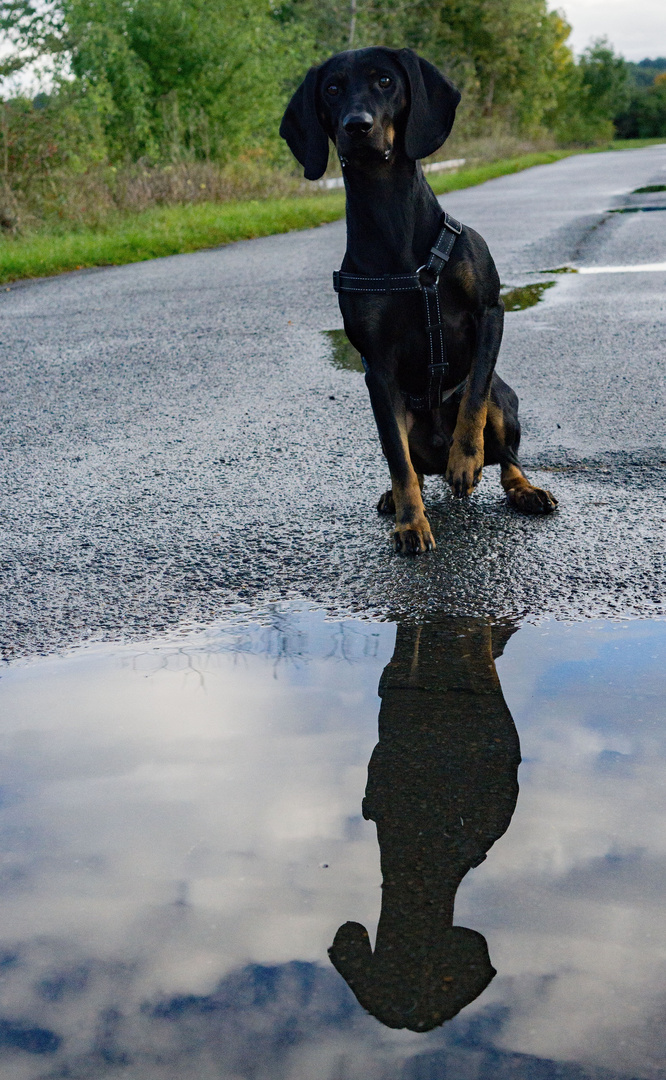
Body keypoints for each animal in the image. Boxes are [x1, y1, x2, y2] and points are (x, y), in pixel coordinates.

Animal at [280, 46, 556, 552]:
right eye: (332, 88)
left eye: (385, 81)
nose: (356, 125)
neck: (394, 221)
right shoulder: (378, 369)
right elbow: (397, 458)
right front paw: (411, 523)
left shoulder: (490, 311)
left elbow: (473, 400)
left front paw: (465, 459)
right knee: (412, 465)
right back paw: (400, 496)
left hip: (506, 404)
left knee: (507, 455)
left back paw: (523, 489)